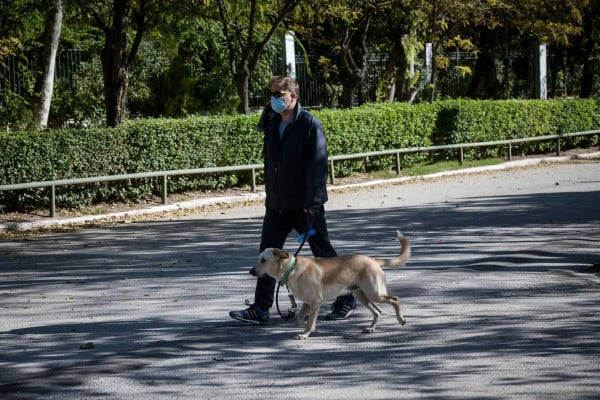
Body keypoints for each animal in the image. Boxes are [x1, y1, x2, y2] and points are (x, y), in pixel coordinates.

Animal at [246, 230, 410, 340]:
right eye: (259, 259)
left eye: (263, 260)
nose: (251, 271)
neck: (291, 269)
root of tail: (373, 260)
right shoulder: (307, 303)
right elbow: (301, 318)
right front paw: (313, 328)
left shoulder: (316, 301)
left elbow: (309, 320)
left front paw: (305, 333)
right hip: (362, 295)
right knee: (378, 312)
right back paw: (370, 329)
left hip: (374, 293)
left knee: (395, 299)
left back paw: (401, 320)